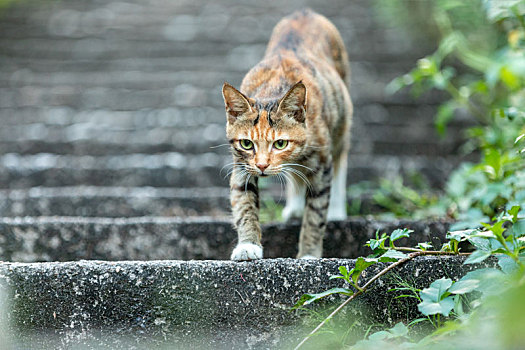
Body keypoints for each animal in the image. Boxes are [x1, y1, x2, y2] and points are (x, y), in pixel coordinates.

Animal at [221, 8, 352, 262]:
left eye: (280, 143)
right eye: (247, 143)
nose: (262, 166)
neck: (272, 90)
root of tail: (305, 12)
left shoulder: (322, 164)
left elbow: (316, 215)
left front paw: (309, 254)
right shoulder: (241, 165)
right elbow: (244, 203)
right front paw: (248, 244)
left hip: (342, 119)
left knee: (341, 158)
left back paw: (337, 210)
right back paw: (295, 207)